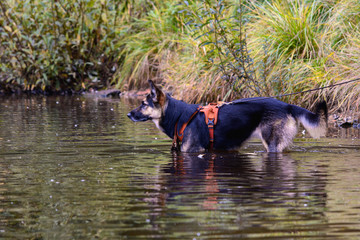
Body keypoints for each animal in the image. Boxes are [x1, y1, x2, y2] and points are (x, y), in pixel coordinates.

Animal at [126, 80, 326, 152]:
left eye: (143, 104)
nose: (128, 114)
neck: (178, 116)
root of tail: (286, 104)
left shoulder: (192, 151)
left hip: (272, 145)